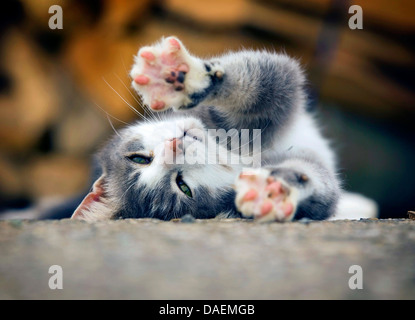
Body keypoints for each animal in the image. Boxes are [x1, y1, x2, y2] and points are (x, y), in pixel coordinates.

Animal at [66, 35, 378, 222]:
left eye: (139, 158)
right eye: (183, 186)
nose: (173, 147)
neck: (236, 154)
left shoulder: (265, 94)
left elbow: (267, 79)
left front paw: (181, 76)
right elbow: (321, 191)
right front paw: (275, 192)